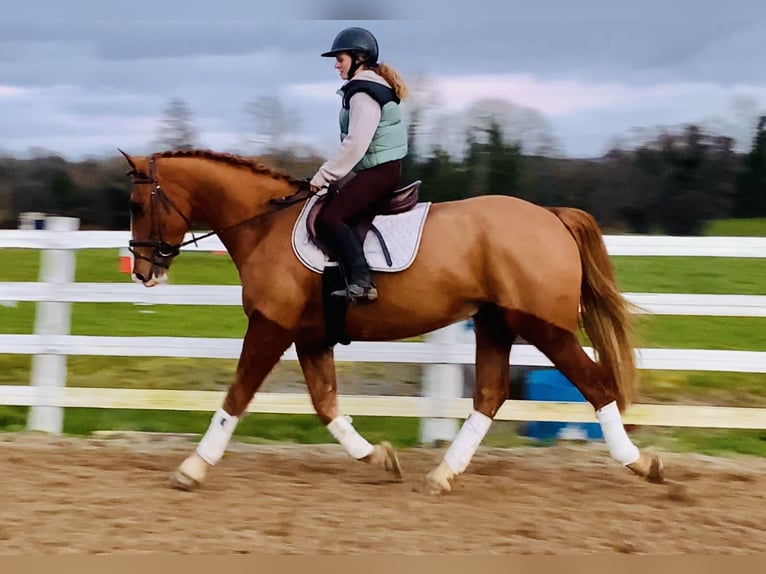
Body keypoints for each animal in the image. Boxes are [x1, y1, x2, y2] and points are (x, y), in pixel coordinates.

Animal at [120, 149, 665, 494]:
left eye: (136, 203)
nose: (143, 270)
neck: (264, 226)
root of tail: (550, 216)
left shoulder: (271, 327)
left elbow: (236, 396)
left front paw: (192, 468)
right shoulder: (311, 338)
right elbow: (326, 406)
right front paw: (379, 457)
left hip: (543, 326)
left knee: (596, 384)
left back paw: (641, 463)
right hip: (495, 324)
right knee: (490, 396)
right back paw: (443, 475)